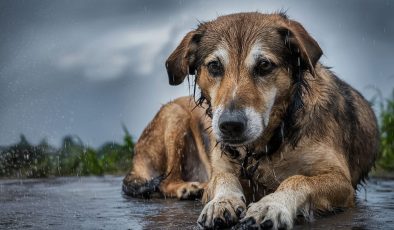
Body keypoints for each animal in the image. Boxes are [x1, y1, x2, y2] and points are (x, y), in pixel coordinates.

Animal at [122, 12, 378, 230]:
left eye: (264, 65)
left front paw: (271, 205)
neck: (268, 142)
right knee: (165, 181)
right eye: (214, 66)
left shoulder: (342, 182)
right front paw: (222, 202)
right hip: (174, 113)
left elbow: (298, 179)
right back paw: (188, 188)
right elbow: (223, 177)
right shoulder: (221, 167)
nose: (230, 126)